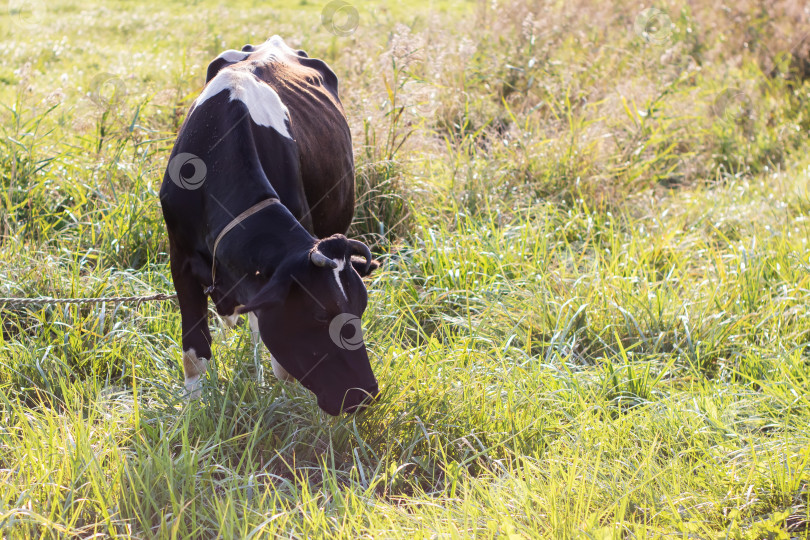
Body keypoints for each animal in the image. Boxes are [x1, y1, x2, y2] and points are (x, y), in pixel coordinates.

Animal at [159, 35, 378, 416]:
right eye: (320, 315)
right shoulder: (180, 258)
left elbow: (281, 361)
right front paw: (192, 411)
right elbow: (194, 352)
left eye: (360, 308)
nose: (365, 393)